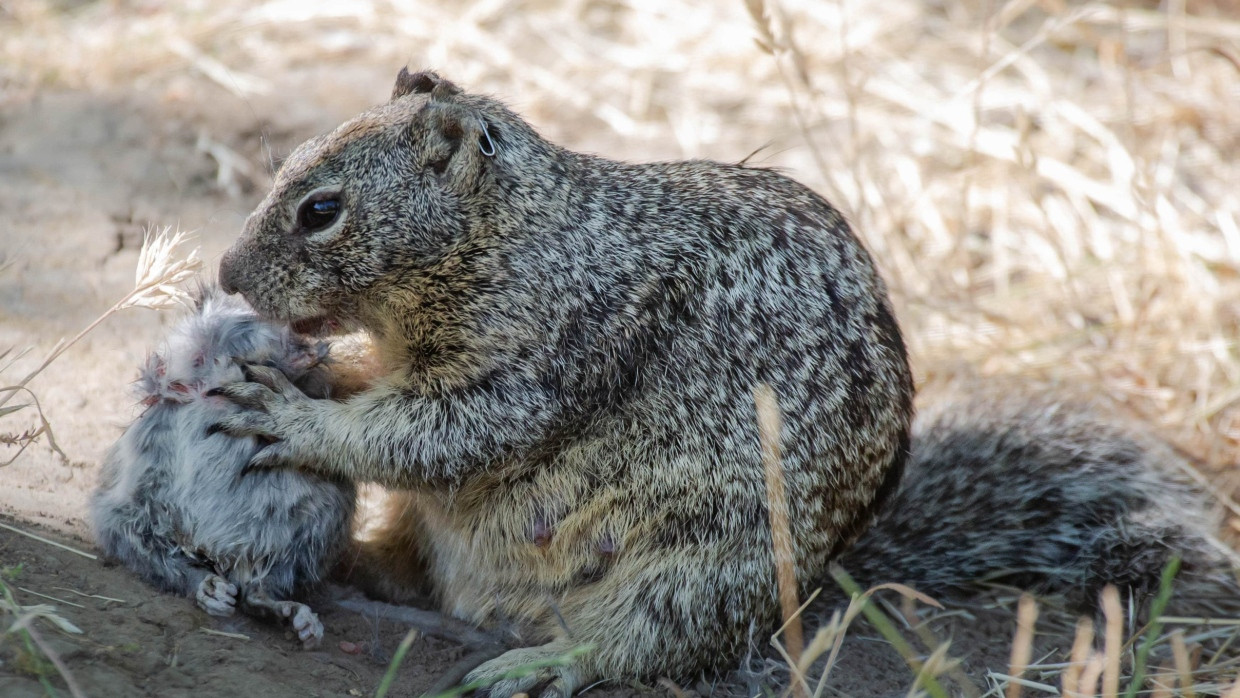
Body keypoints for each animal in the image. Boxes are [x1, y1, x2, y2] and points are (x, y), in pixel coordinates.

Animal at [90, 286, 354, 649]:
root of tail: (221, 550)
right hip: (127, 512)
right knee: (161, 553)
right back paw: (213, 591)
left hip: (316, 520)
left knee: (257, 589)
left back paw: (295, 618)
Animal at [210, 69, 1230, 694]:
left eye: (321, 209)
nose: (225, 274)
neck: (518, 236)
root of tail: (815, 586)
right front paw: (313, 367)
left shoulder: (545, 358)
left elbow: (435, 435)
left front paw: (294, 415)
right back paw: (356, 570)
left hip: (695, 570)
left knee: (642, 646)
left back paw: (545, 662)